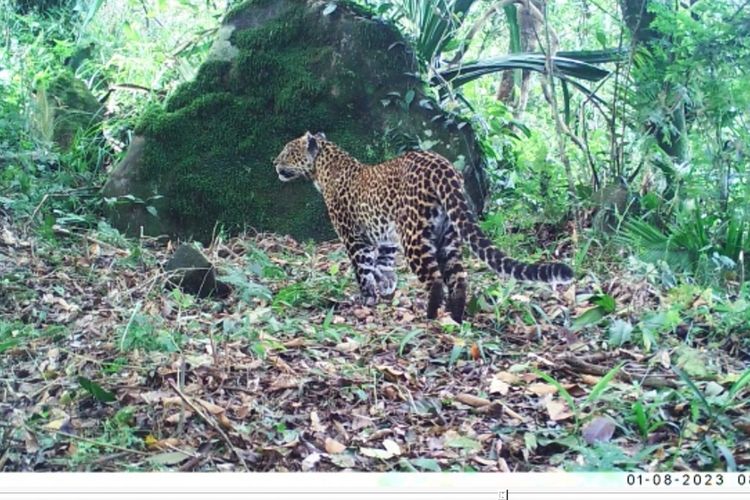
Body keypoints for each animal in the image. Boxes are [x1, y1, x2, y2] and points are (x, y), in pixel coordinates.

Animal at [276, 131, 576, 322]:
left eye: (288, 152)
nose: (274, 162)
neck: (324, 169)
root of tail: (444, 167)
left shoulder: (356, 239)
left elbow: (363, 270)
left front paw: (367, 298)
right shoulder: (386, 240)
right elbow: (384, 267)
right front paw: (387, 291)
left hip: (415, 236)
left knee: (435, 281)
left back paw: (430, 317)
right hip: (449, 235)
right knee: (459, 278)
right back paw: (455, 317)